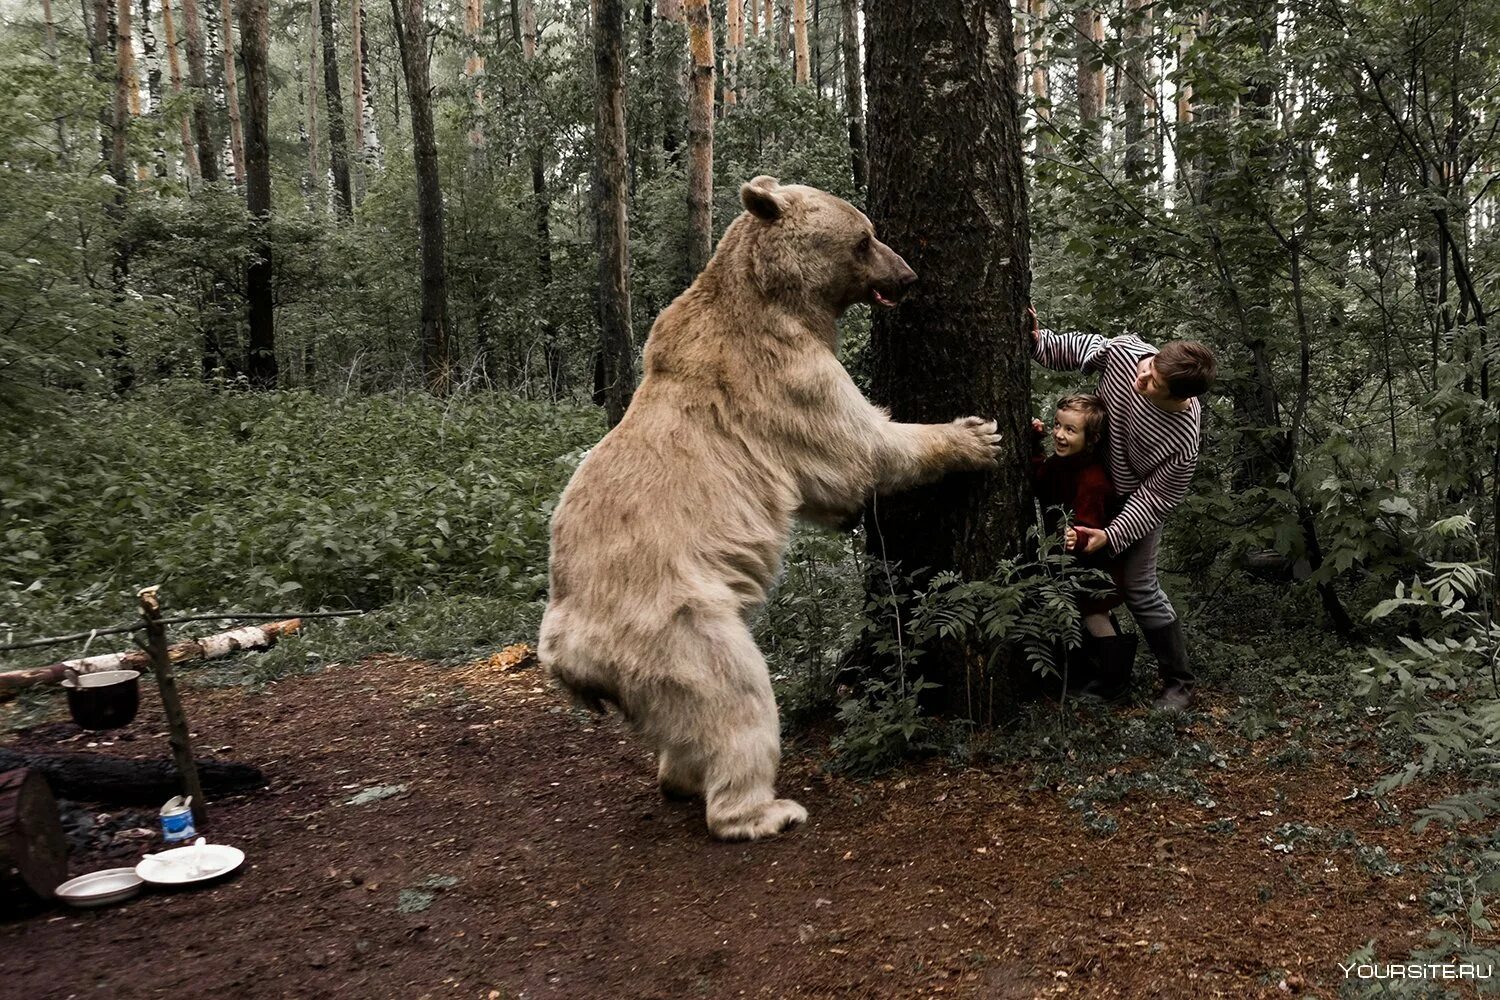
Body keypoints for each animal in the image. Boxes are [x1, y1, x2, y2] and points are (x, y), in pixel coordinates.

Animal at [534, 176, 1002, 839]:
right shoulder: (782, 376)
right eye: (865, 237)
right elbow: (859, 449)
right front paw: (973, 436)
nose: (909, 275)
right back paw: (762, 809)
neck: (775, 301)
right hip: (674, 622)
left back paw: (680, 778)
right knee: (735, 696)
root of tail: (564, 654)